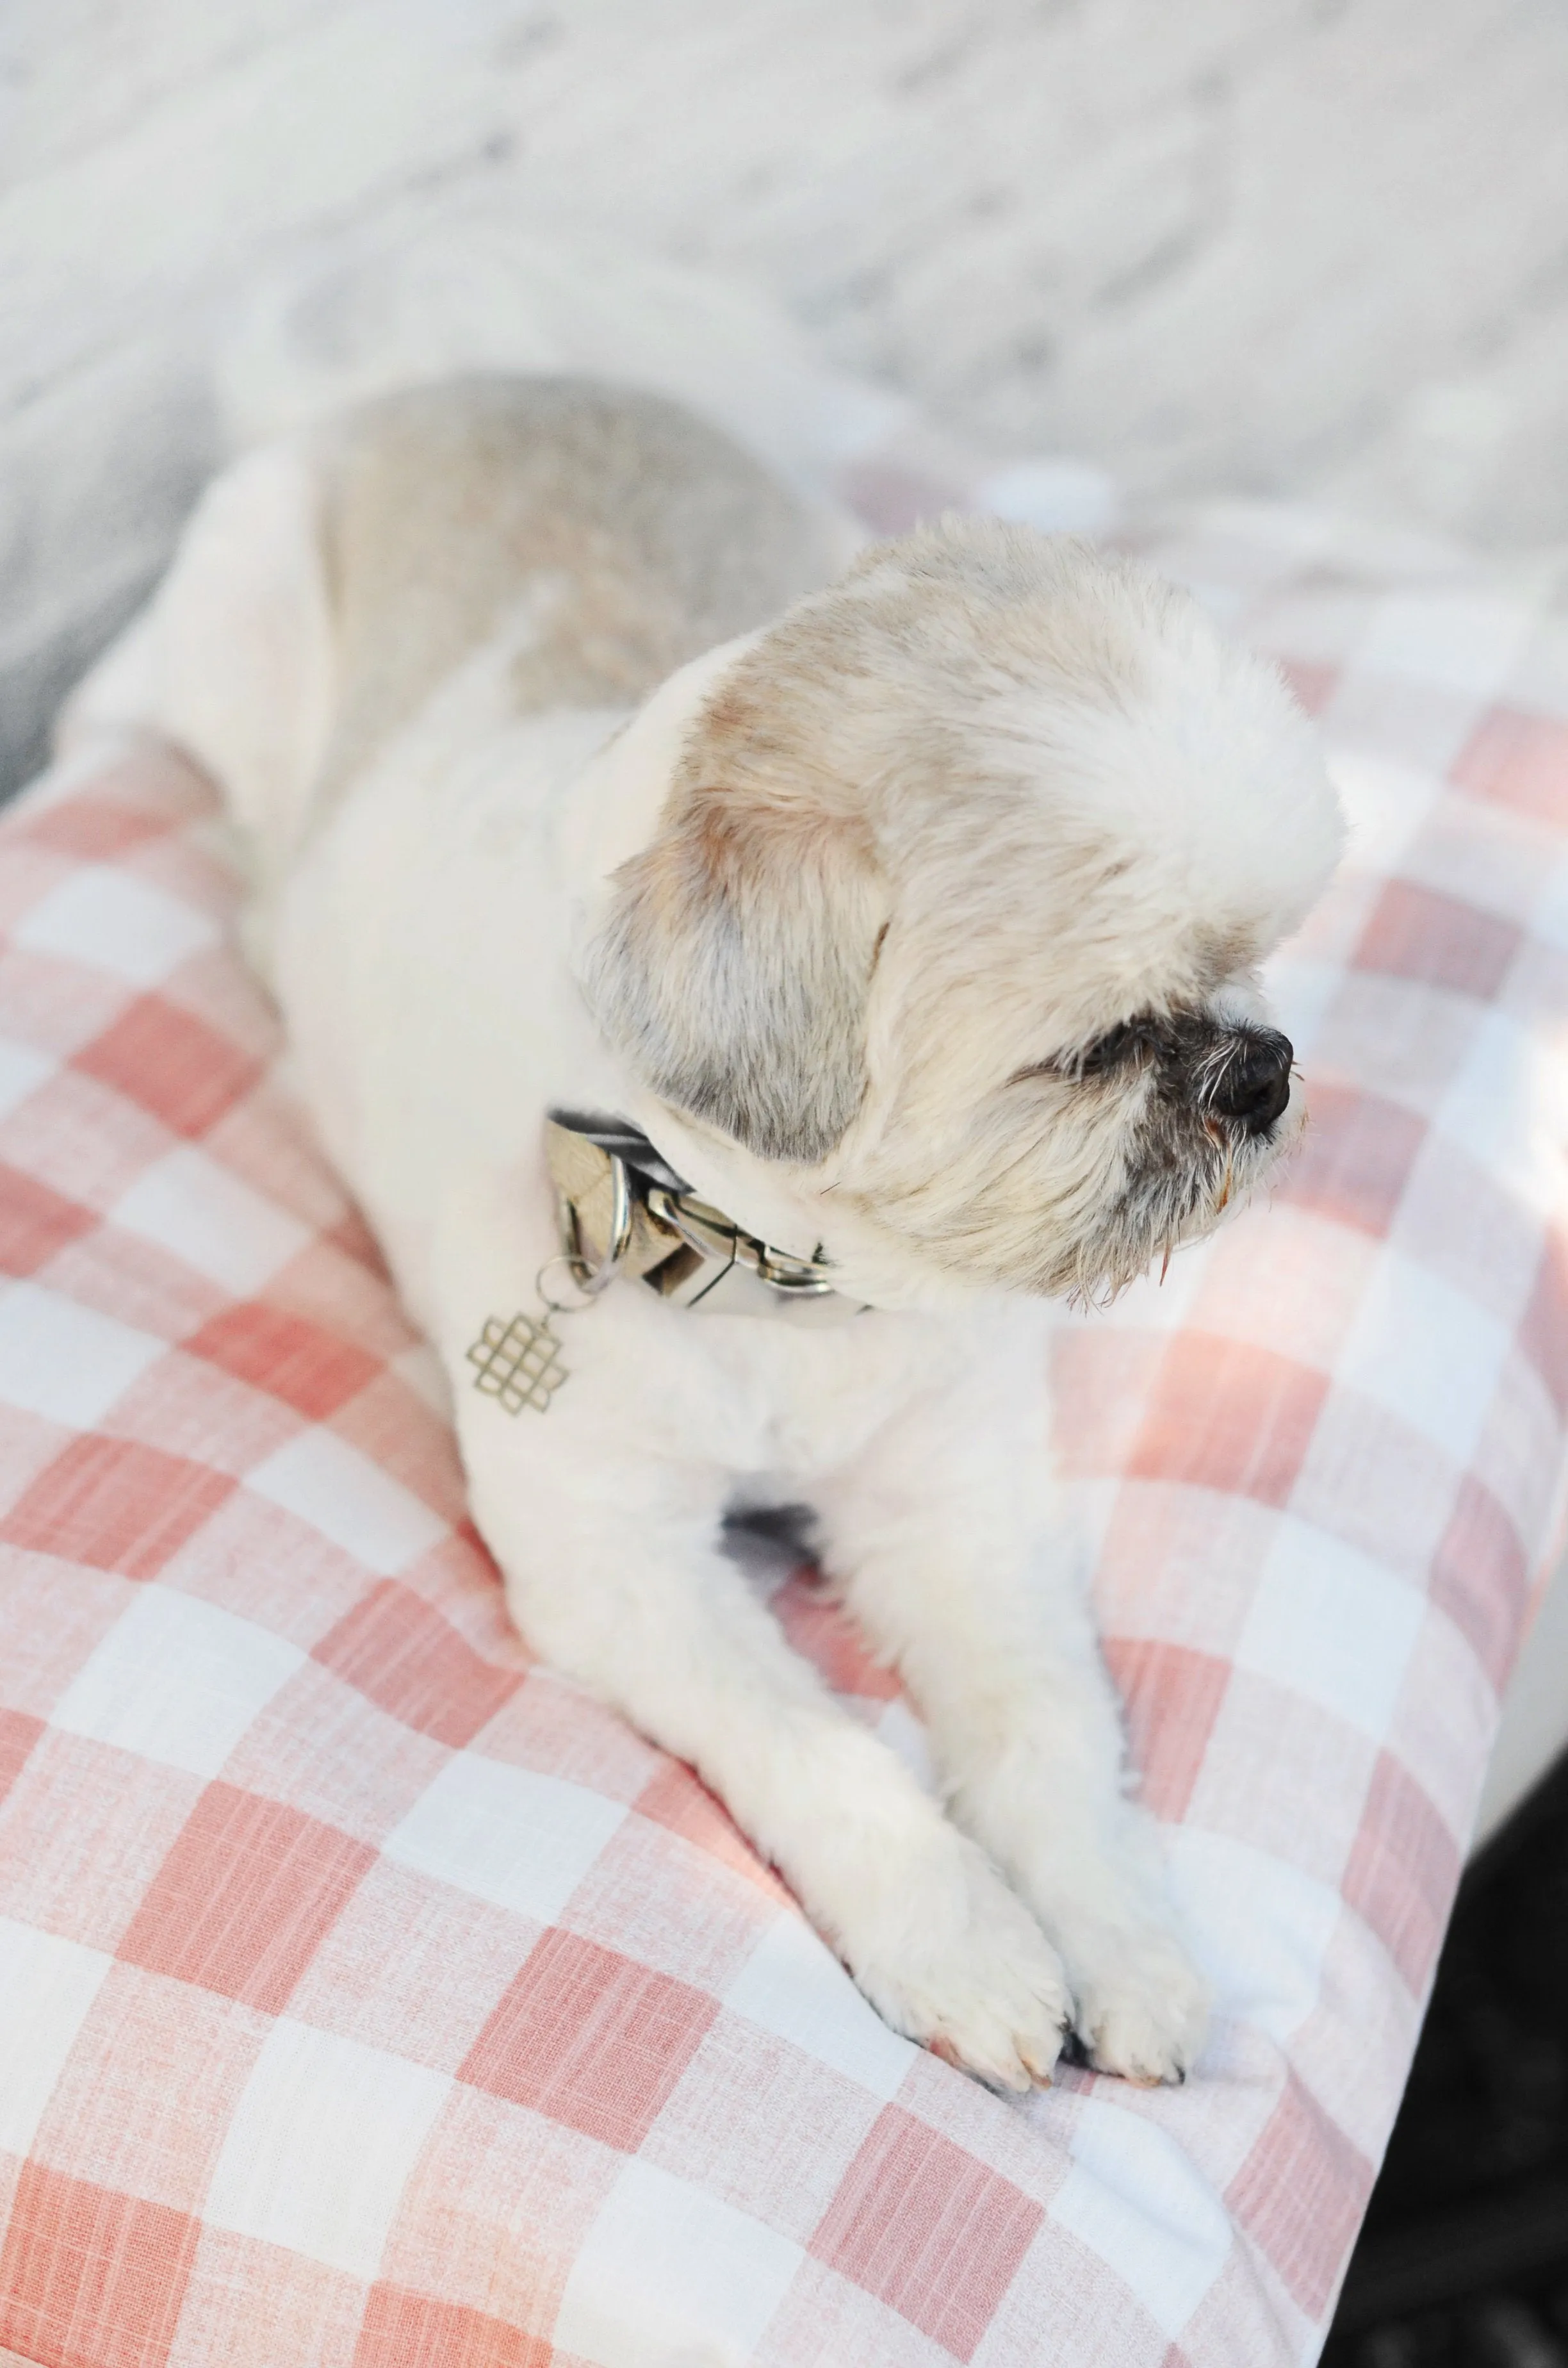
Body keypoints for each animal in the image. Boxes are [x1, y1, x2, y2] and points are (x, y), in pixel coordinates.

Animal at [79, 374, 1345, 2093]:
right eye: (1096, 1051)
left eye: (1252, 968)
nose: (1260, 1071)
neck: (784, 1282)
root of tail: (465, 380)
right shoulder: (614, 1567)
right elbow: (814, 1745)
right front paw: (963, 1943)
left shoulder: (956, 1508)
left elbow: (1043, 1728)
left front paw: (1117, 1936)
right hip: (238, 641)